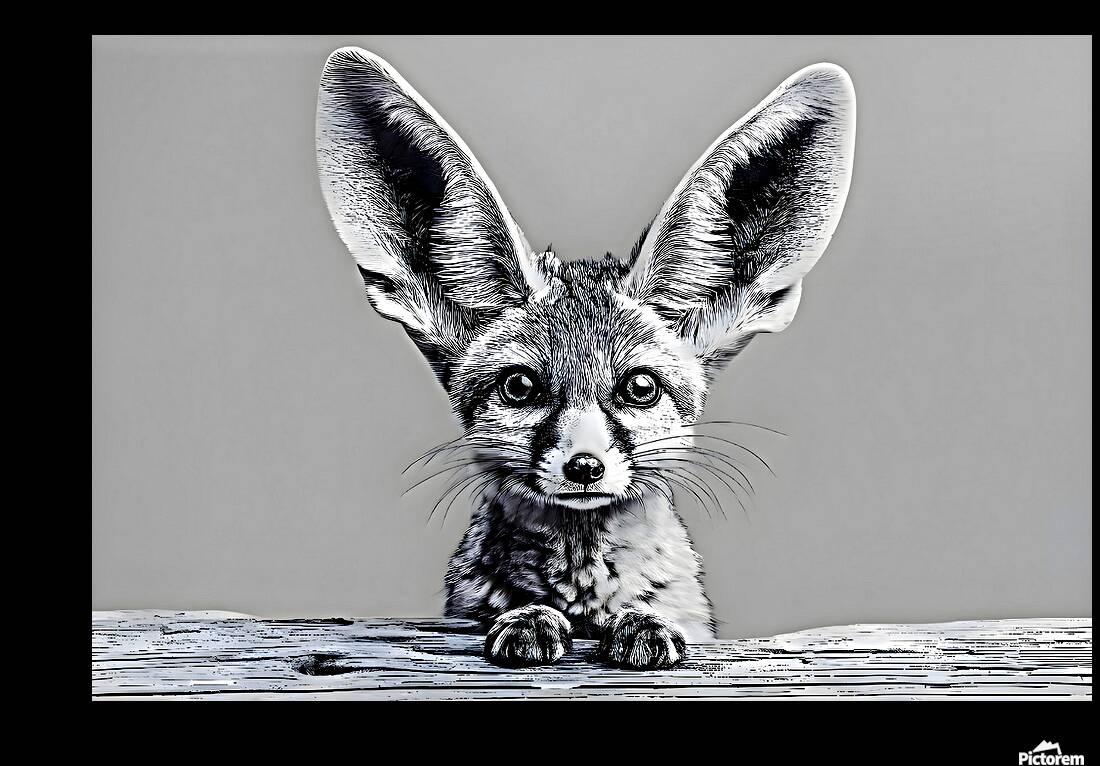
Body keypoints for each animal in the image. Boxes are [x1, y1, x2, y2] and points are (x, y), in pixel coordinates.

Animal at [316, 47, 855, 669]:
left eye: (640, 387)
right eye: (520, 387)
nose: (585, 466)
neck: (582, 593)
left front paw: (641, 621)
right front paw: (529, 617)